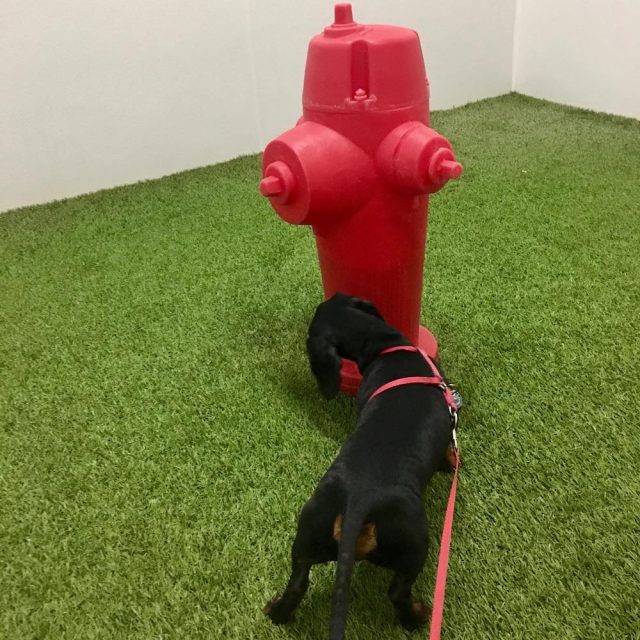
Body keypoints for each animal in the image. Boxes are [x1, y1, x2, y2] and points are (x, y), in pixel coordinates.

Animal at [262, 292, 458, 636]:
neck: (383, 345)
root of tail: (357, 503)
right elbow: (449, 446)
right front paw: (450, 462)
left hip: (308, 533)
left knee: (297, 583)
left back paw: (277, 612)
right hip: (413, 543)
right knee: (397, 592)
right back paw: (416, 617)